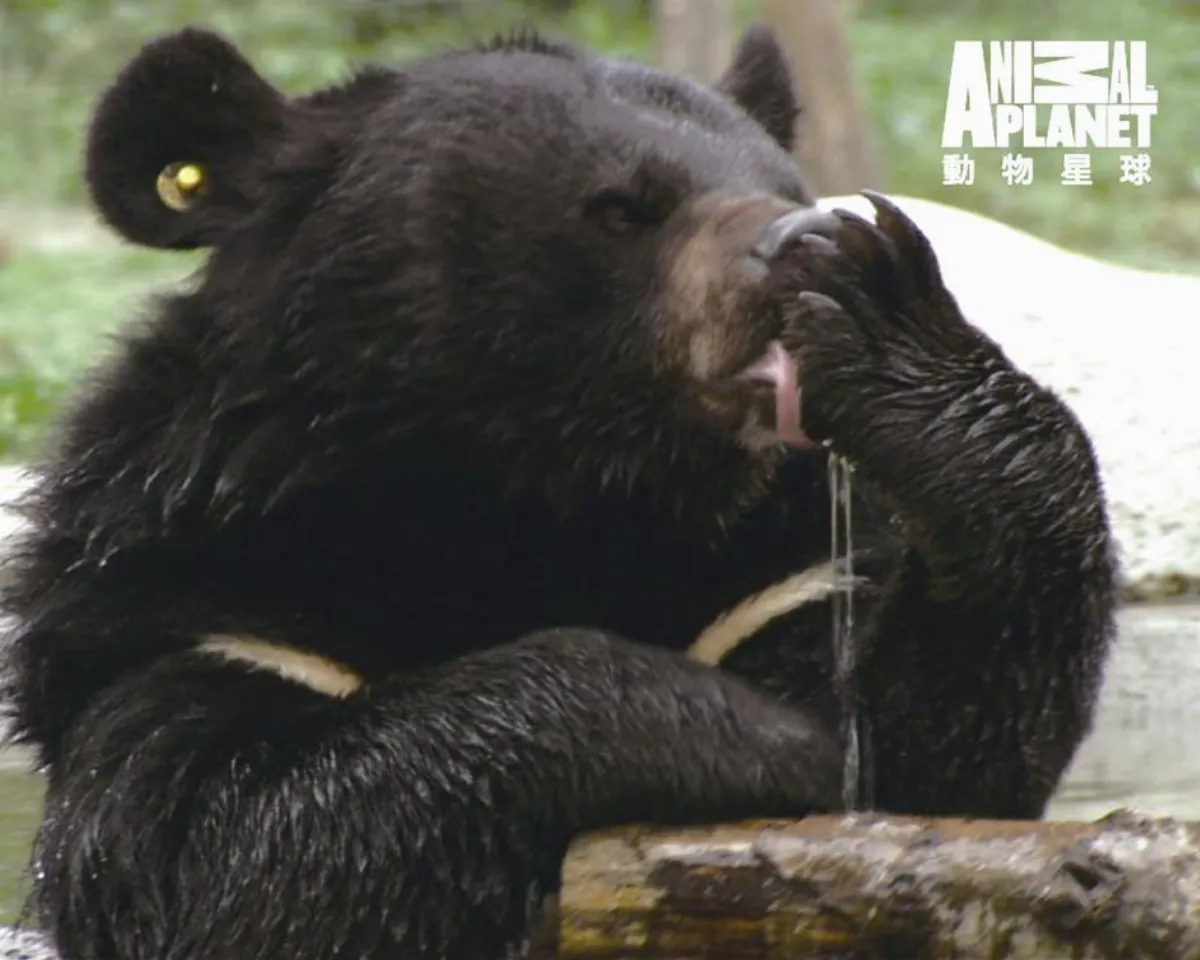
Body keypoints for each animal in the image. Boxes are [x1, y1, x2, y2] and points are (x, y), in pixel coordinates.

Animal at [0, 21, 1118, 960]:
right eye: (623, 207)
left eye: (784, 182)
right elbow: (211, 860)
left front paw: (882, 309)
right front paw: (751, 735)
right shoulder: (195, 608)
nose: (793, 247)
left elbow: (922, 767)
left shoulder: (780, 572)